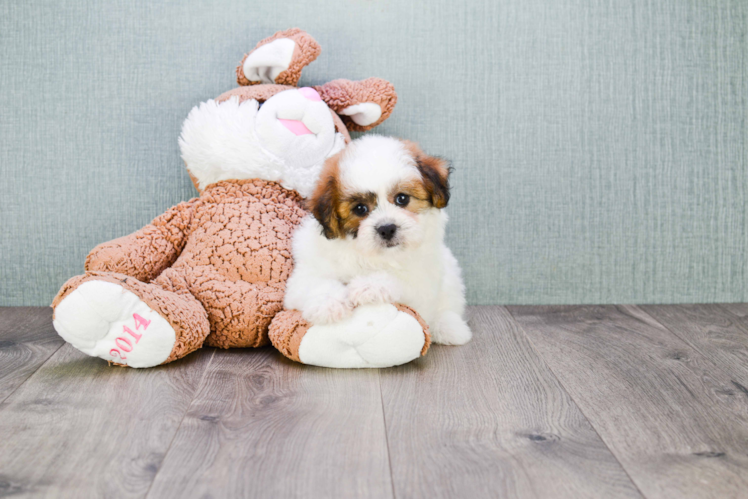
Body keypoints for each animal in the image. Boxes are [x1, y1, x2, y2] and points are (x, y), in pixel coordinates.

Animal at [284, 137, 470, 348]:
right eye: (360, 208)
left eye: (402, 198)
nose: (387, 228)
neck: (372, 256)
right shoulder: (304, 274)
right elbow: (314, 283)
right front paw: (328, 304)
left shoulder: (423, 282)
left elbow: (400, 279)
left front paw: (369, 285)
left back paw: (449, 327)